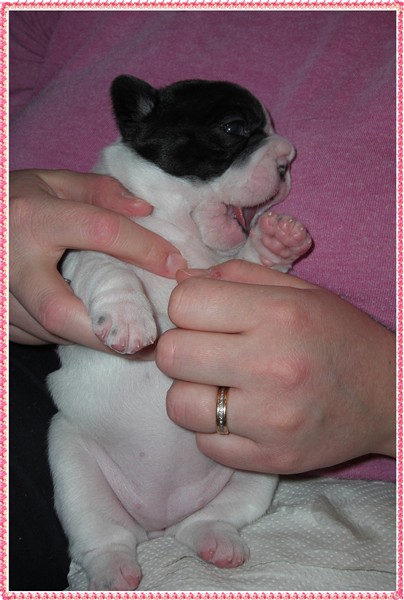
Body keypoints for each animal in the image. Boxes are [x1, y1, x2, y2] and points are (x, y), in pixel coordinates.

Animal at [47, 76, 311, 590]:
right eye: (233, 128)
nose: (288, 159)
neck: (183, 236)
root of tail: (158, 523)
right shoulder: (88, 249)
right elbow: (107, 266)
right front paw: (129, 319)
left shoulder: (229, 280)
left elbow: (253, 262)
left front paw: (276, 242)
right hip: (68, 457)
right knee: (102, 536)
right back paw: (113, 572)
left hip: (255, 469)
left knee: (207, 520)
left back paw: (215, 540)